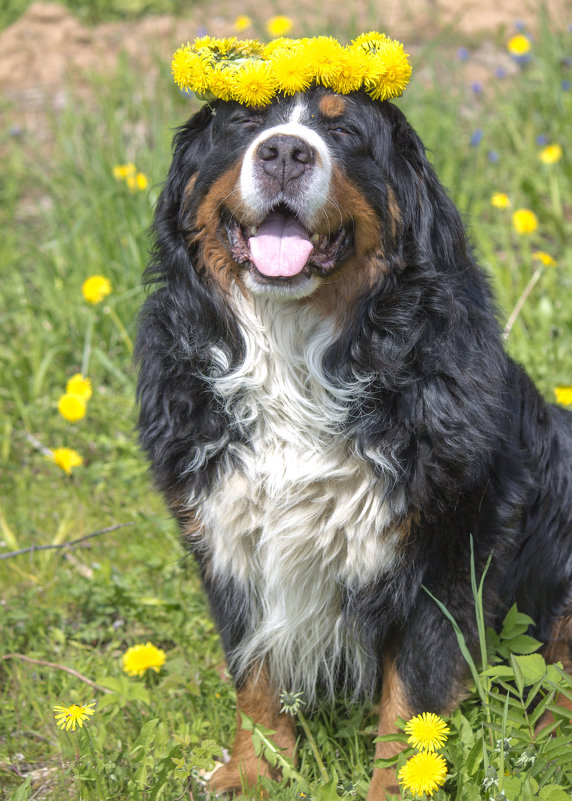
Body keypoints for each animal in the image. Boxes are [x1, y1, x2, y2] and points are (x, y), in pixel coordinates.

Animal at [135, 84, 572, 796]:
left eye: (345, 134)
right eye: (245, 121)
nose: (285, 152)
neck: (296, 359)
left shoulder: (444, 557)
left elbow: (411, 711)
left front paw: (399, 786)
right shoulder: (232, 537)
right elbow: (255, 678)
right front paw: (252, 771)